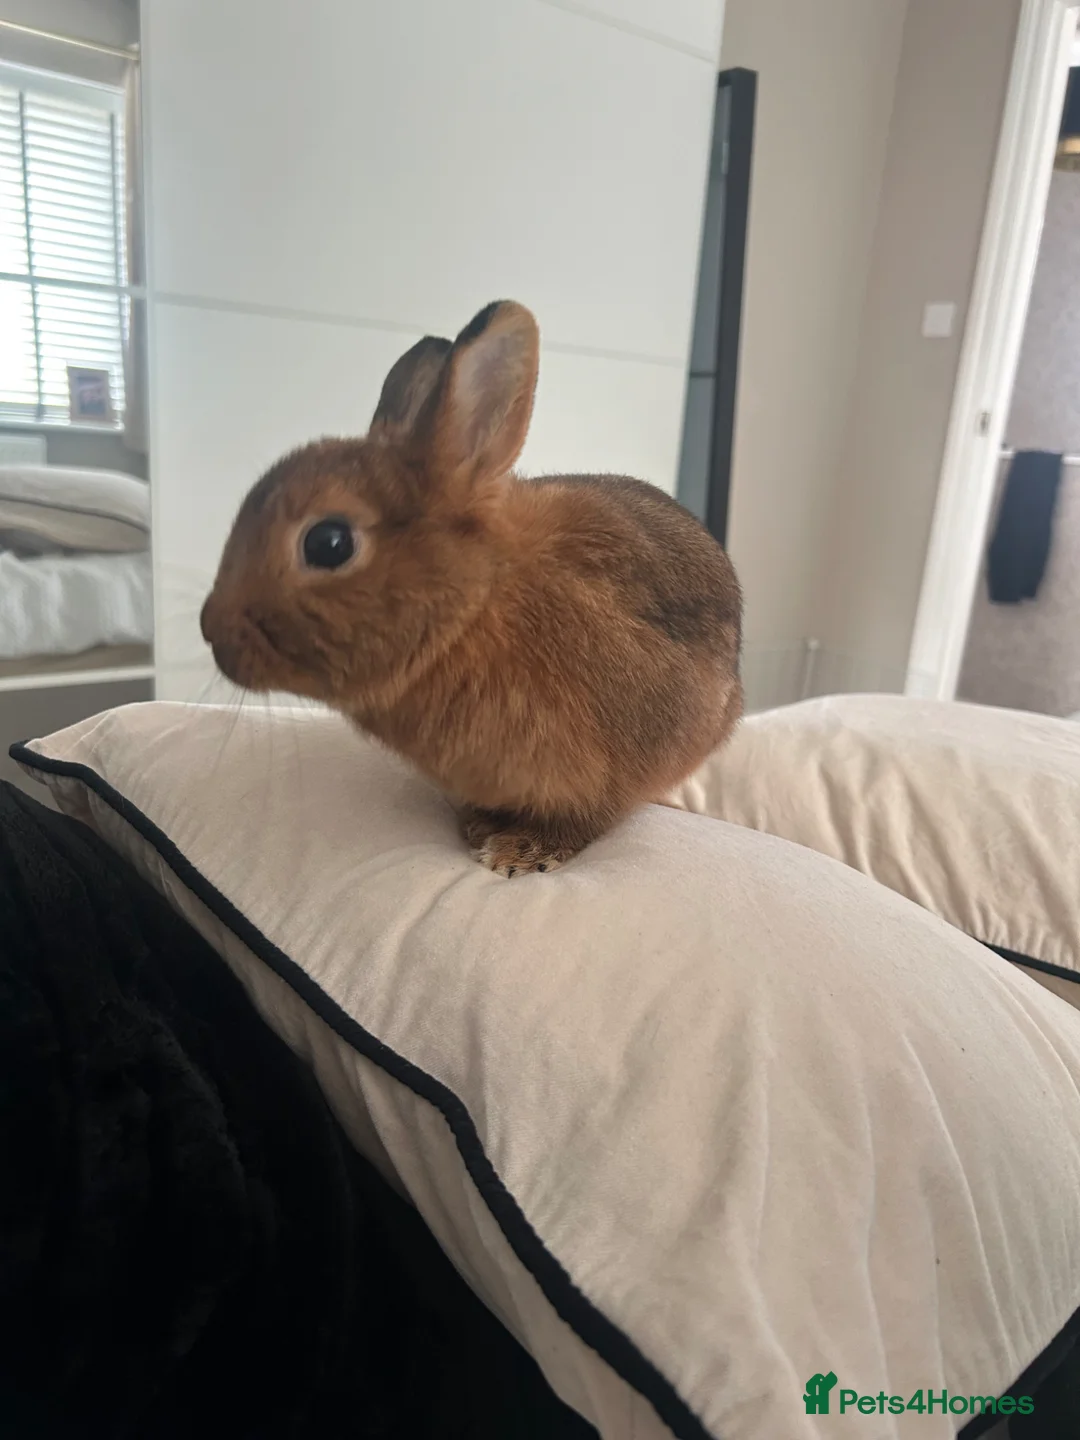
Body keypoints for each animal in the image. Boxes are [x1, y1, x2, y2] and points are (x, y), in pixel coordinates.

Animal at [200, 299, 743, 877]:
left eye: (329, 543)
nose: (210, 629)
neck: (477, 603)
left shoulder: (613, 768)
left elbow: (586, 819)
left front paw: (518, 854)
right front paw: (483, 827)